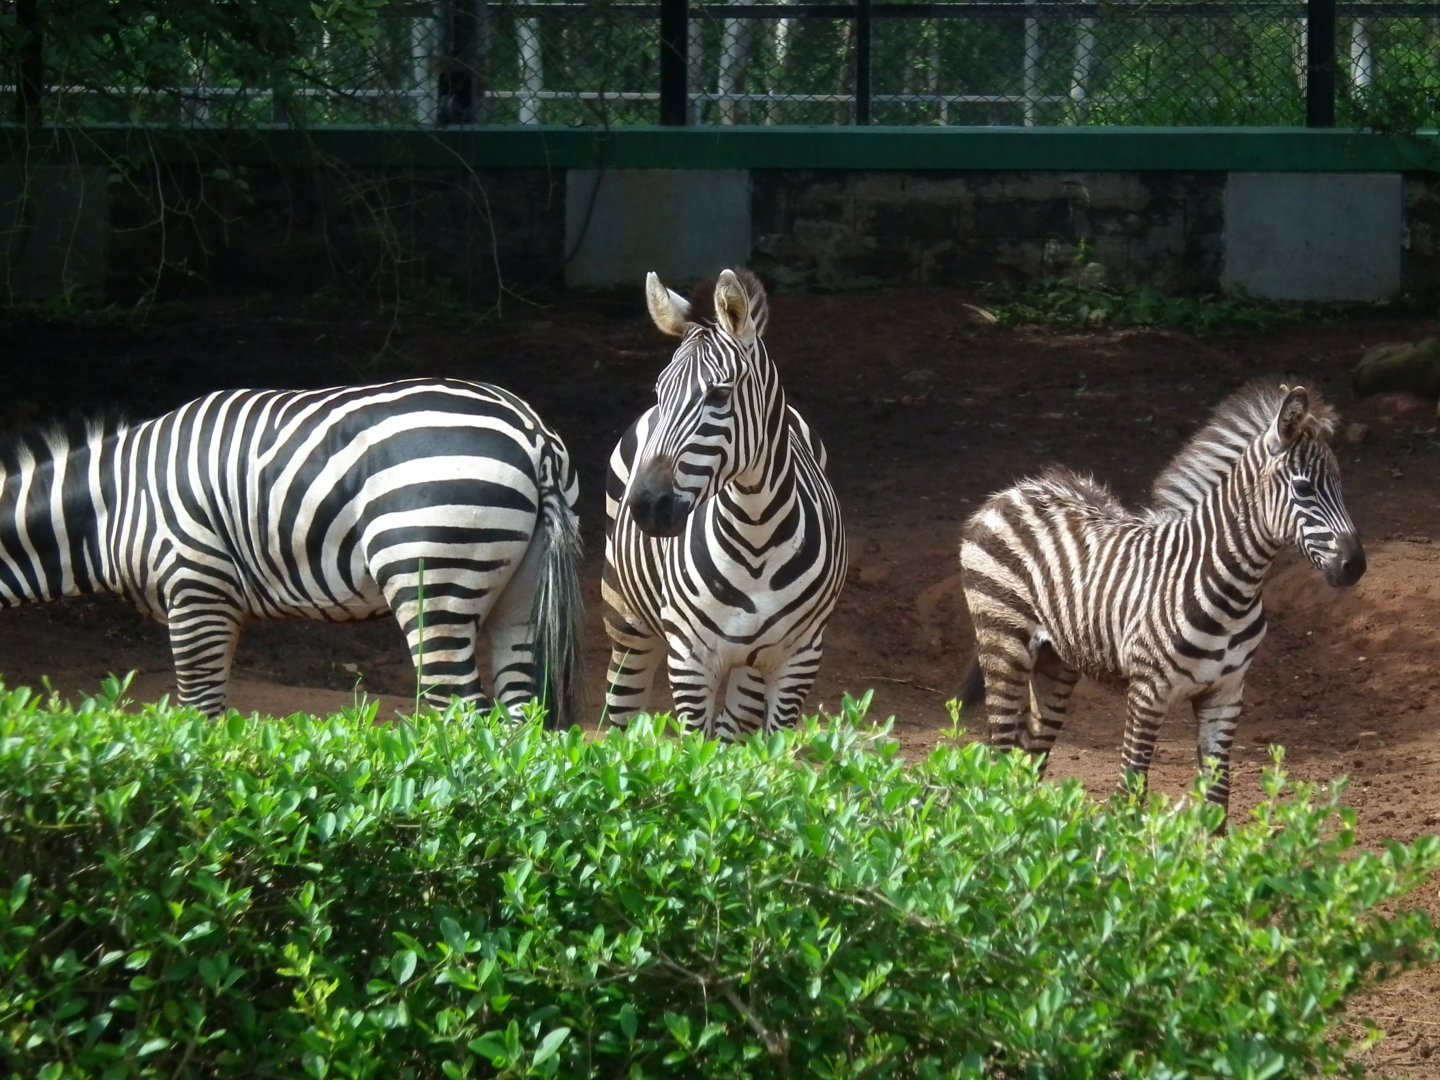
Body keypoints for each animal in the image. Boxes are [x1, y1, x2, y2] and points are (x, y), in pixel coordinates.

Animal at [0, 378, 585, 723]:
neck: (114, 505)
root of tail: (533, 433)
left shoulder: (195, 589)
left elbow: (199, 714)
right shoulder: (220, 607)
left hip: (432, 579)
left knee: (463, 712)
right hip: (520, 596)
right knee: (521, 718)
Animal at [601, 268, 847, 739]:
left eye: (717, 396)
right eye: (660, 391)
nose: (646, 507)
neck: (756, 534)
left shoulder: (799, 658)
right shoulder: (688, 659)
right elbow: (697, 751)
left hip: (750, 667)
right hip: (626, 619)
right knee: (620, 712)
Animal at [957, 380, 1366, 818]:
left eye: (1341, 484)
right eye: (1304, 488)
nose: (1355, 566)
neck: (1231, 590)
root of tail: (1015, 490)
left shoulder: (1226, 693)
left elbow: (1217, 799)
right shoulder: (1148, 690)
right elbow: (1130, 790)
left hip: (1057, 659)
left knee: (1028, 755)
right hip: (1003, 642)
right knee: (999, 754)